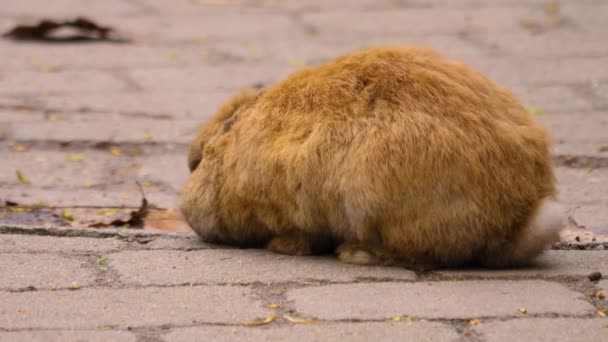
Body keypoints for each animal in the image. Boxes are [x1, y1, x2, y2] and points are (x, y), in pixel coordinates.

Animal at [182, 45, 564, 268]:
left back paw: (358, 253)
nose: (186, 211)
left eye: (195, 163)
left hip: (376, 202)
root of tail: (520, 215)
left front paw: (285, 246)